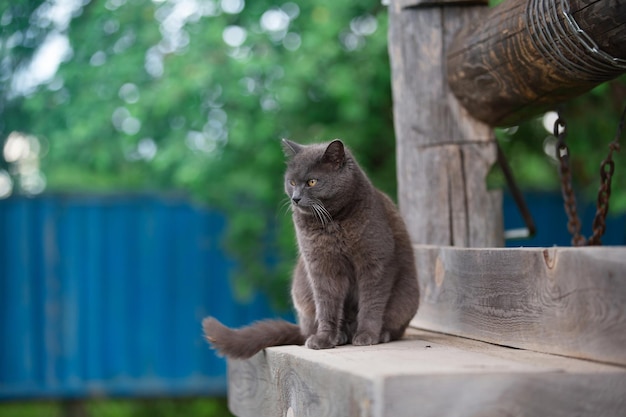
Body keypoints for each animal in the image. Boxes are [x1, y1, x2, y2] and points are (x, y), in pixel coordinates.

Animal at [205, 139, 416, 358]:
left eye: (312, 182)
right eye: (291, 182)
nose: (295, 198)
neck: (333, 222)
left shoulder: (374, 262)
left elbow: (371, 303)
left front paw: (367, 335)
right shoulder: (321, 266)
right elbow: (326, 304)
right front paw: (324, 339)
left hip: (406, 300)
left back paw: (379, 334)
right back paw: (339, 336)